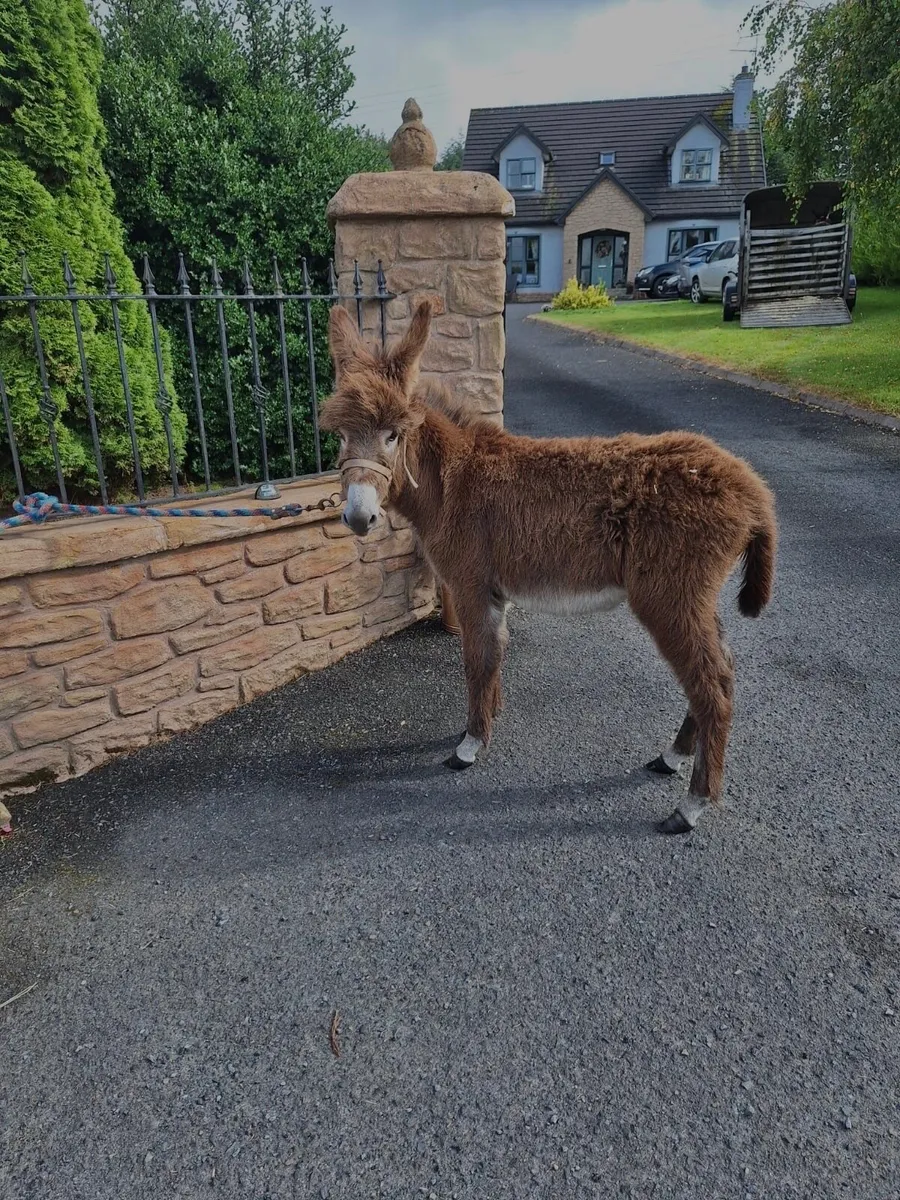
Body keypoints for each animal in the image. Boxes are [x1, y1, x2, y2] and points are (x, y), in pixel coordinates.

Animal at [320, 300, 777, 835]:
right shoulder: (493, 591)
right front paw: (487, 722)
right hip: (695, 595)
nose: (358, 517)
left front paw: (469, 746)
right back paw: (672, 757)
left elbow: (477, 659)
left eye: (393, 435)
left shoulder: (471, 584)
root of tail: (751, 488)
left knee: (711, 688)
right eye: (341, 436)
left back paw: (690, 805)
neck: (452, 483)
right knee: (722, 671)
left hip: (669, 594)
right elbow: (494, 655)